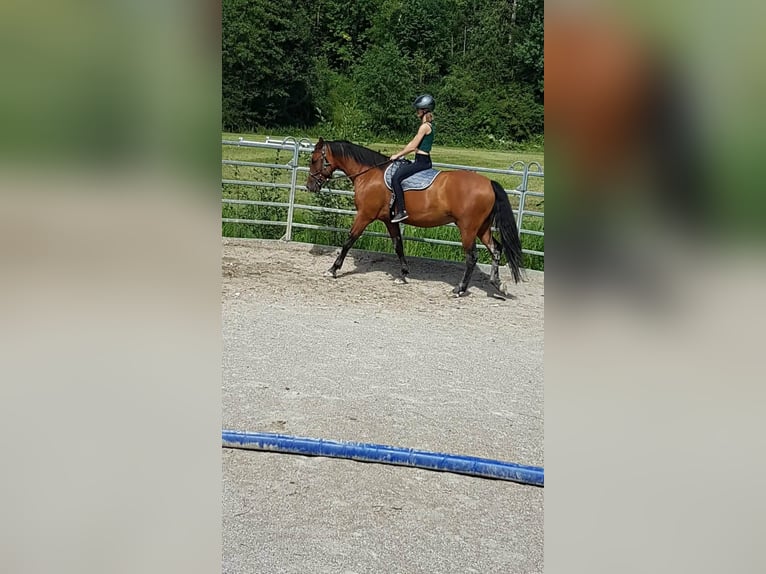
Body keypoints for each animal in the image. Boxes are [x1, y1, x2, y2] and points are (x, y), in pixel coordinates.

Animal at [305, 138, 524, 297]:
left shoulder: (365, 216)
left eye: (314, 160)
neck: (369, 175)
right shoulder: (389, 220)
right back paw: (497, 284)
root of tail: (489, 183)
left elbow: (349, 240)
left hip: (468, 229)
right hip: (482, 228)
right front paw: (403, 274)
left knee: (472, 257)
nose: (309, 186)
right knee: (496, 249)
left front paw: (333, 269)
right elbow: (398, 246)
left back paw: (459, 289)